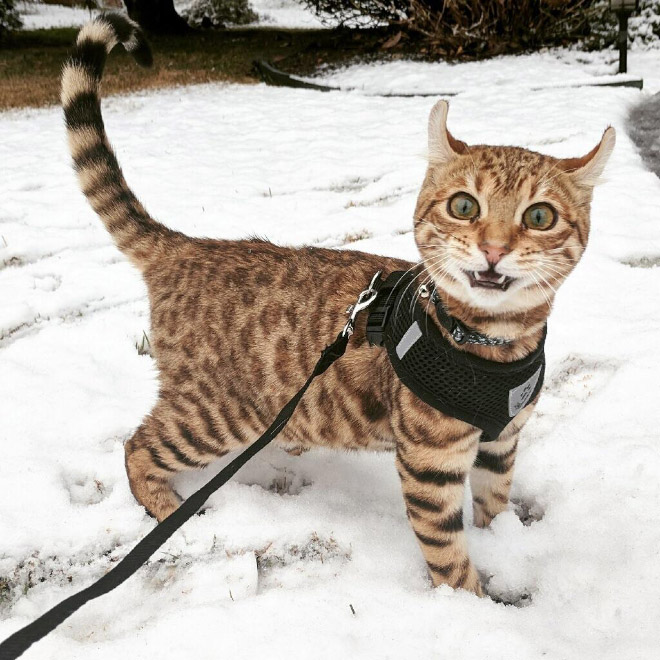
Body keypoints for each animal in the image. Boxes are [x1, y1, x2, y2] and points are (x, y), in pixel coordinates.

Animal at [60, 14, 612, 600]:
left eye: (540, 216)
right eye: (464, 206)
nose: (494, 248)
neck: (495, 343)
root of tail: (188, 246)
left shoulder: (502, 440)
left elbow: (493, 503)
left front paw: (504, 545)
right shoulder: (430, 464)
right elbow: (448, 556)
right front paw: (476, 609)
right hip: (214, 414)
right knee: (136, 445)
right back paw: (168, 510)